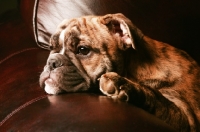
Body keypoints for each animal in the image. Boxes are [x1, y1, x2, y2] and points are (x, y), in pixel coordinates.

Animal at [39, 13, 200, 131]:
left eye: (83, 50)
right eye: (51, 47)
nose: (52, 62)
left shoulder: (187, 118)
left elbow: (156, 96)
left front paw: (121, 84)